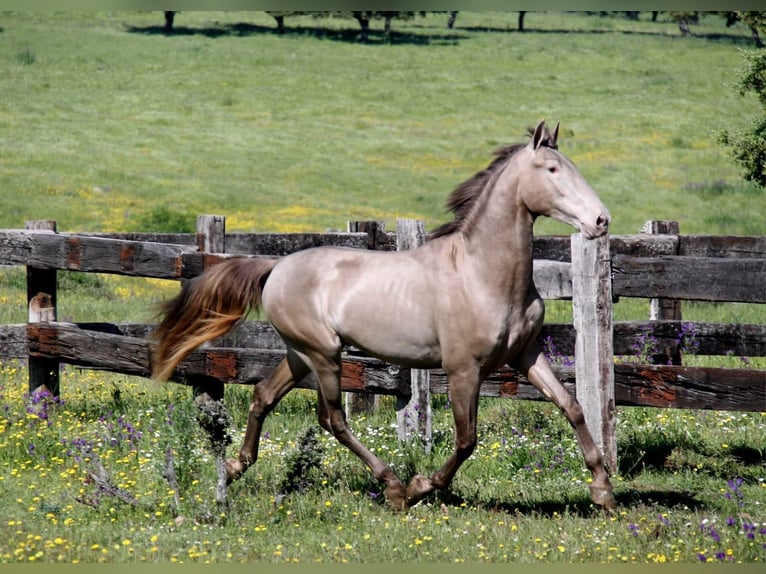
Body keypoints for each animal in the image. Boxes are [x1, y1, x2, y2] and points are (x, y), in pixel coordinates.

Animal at [151, 120, 616, 510]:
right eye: (553, 169)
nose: (600, 220)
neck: (482, 274)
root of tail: (275, 267)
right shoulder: (464, 368)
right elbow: (467, 439)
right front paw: (421, 486)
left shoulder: (525, 354)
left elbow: (572, 406)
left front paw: (602, 490)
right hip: (324, 354)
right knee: (333, 419)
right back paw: (392, 487)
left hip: (300, 354)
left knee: (264, 395)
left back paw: (234, 468)